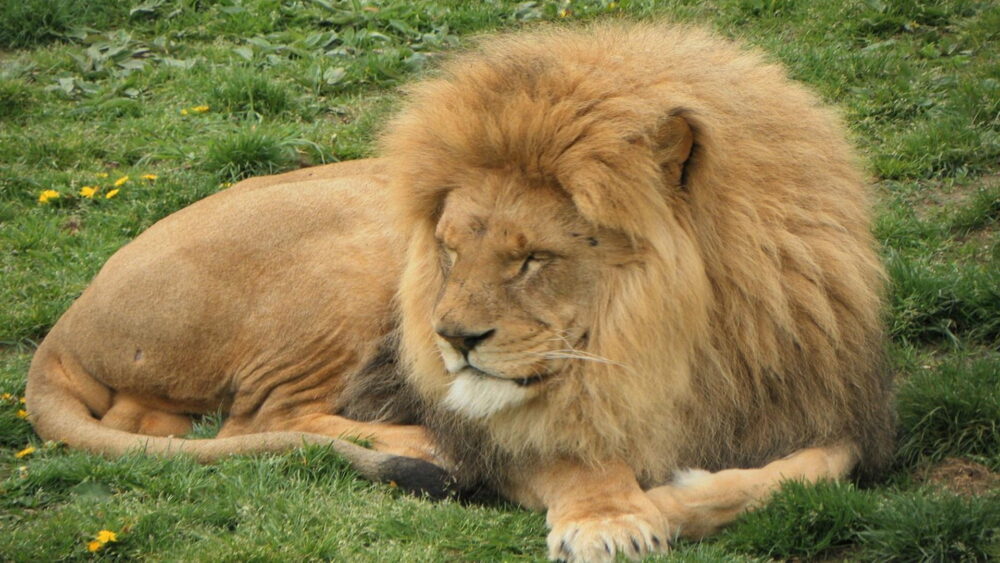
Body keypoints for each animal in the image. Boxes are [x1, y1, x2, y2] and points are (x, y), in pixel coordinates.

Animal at [26, 22, 894, 561]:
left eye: (532, 258)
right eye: (448, 251)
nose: (453, 339)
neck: (665, 347)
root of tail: (63, 328)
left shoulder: (828, 404)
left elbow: (819, 467)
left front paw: (674, 498)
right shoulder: (512, 424)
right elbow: (569, 456)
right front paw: (613, 515)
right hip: (351, 250)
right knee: (257, 419)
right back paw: (423, 447)